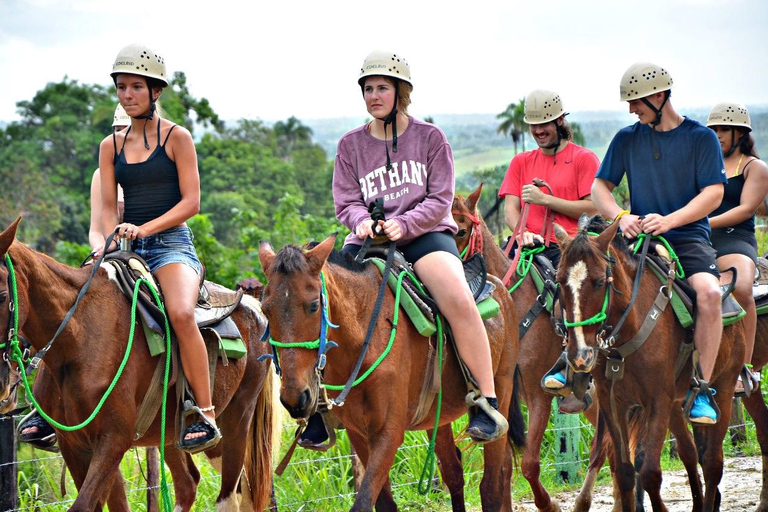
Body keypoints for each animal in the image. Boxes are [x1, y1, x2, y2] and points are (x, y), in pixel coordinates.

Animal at [0, 218, 280, 510]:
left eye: (1, 295)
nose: (3, 385)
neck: (79, 341)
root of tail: (254, 307)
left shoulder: (112, 440)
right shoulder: (74, 444)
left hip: (236, 420)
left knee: (231, 494)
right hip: (173, 433)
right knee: (192, 483)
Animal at [260, 236, 524, 512]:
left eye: (313, 306)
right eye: (266, 309)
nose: (295, 398)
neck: (365, 338)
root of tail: (500, 289)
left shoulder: (388, 433)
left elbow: (364, 502)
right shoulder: (358, 434)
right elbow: (384, 503)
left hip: (502, 391)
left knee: (492, 485)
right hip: (439, 416)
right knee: (454, 472)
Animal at [556, 216, 748, 512]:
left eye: (599, 282)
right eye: (558, 281)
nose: (580, 354)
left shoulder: (657, 400)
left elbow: (648, 473)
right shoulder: (613, 402)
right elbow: (625, 473)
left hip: (724, 388)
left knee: (712, 463)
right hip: (676, 403)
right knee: (691, 453)